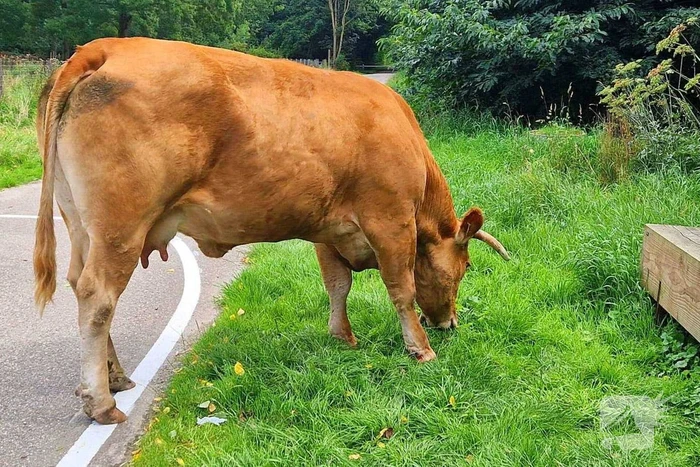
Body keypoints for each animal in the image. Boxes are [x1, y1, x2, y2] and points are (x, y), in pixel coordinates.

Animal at [34, 37, 509, 425]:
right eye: (465, 267)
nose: (450, 323)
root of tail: (102, 48)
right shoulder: (391, 220)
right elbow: (402, 288)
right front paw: (420, 349)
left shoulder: (329, 231)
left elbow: (337, 285)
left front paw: (343, 338)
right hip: (121, 225)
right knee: (98, 298)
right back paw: (101, 402)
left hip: (81, 224)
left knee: (79, 283)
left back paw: (115, 378)